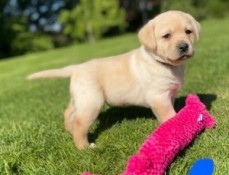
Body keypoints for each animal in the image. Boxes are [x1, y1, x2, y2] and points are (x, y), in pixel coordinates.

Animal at [28, 10, 200, 149]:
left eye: (188, 31)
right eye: (167, 36)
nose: (184, 46)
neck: (162, 63)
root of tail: (77, 67)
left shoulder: (169, 94)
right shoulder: (159, 96)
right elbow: (169, 116)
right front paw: (176, 128)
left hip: (80, 98)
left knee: (68, 112)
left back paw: (68, 130)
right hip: (92, 101)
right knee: (79, 123)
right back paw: (84, 147)